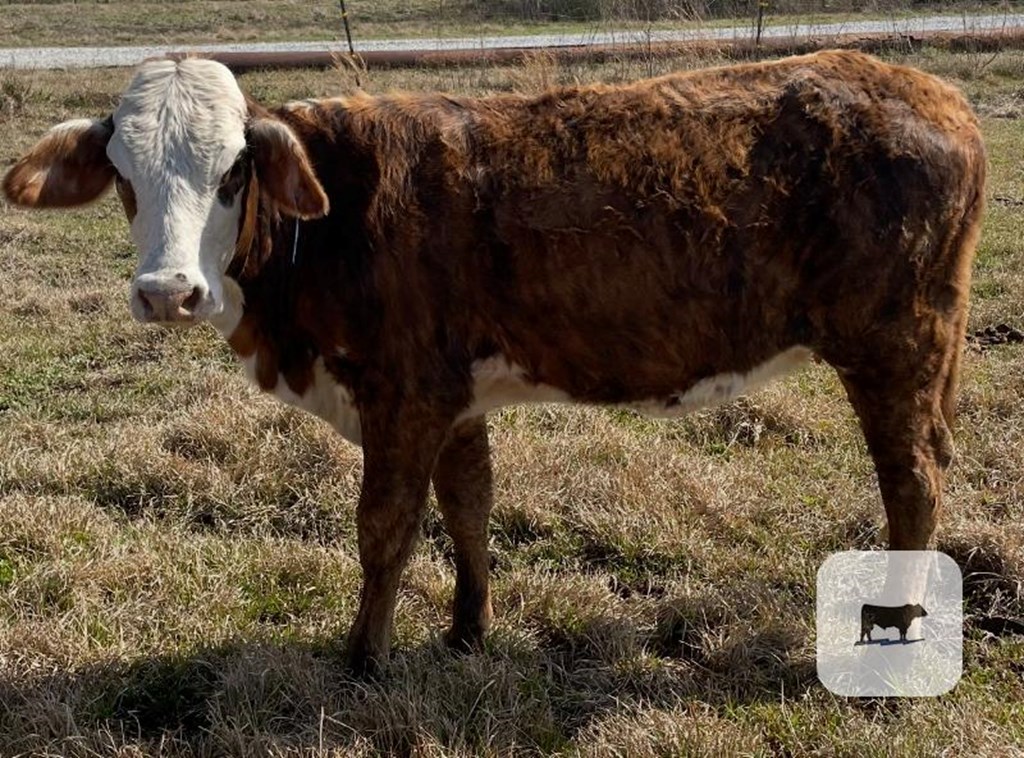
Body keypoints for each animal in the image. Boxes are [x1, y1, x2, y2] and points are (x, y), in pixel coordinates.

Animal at [4, 50, 987, 671]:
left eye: (233, 171)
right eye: (125, 174)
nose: (169, 292)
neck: (332, 229)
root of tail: (928, 91)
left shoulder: (403, 394)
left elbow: (385, 528)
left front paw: (364, 658)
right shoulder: (457, 396)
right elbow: (468, 507)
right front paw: (467, 630)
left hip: (898, 344)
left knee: (914, 478)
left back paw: (898, 618)